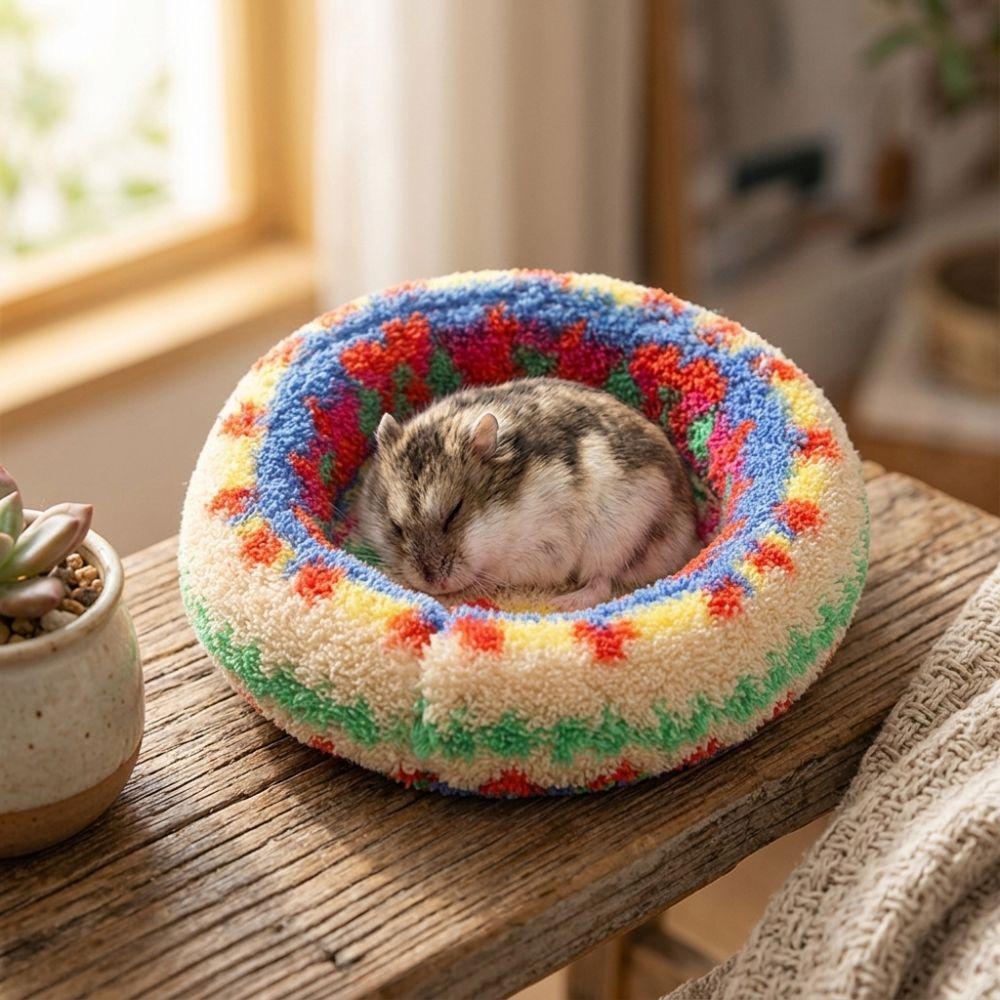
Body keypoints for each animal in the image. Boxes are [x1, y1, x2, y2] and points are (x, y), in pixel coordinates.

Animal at [357, 377, 700, 611]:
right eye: (395, 527)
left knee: (602, 582)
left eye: (454, 512)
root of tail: (689, 531)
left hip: (614, 537)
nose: (433, 584)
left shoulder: (541, 551)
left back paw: (563, 603)